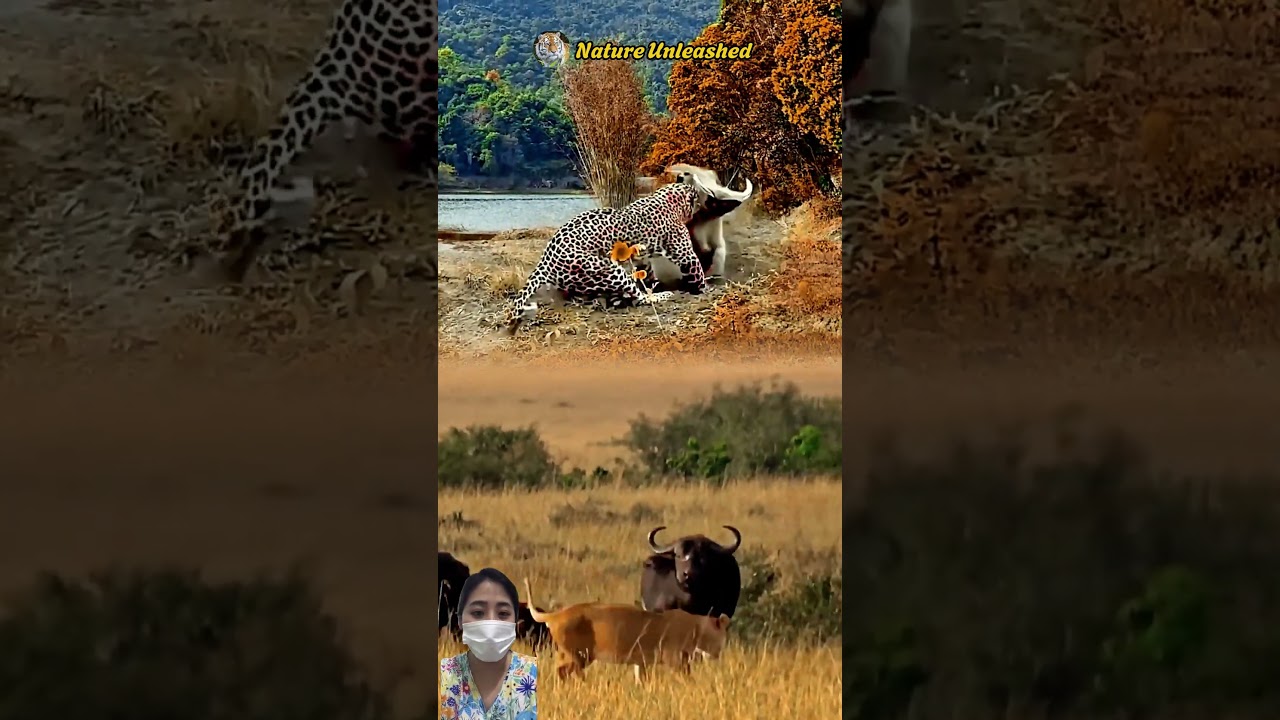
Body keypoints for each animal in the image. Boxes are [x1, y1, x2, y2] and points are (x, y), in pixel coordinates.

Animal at [505, 174, 754, 335]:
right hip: (608, 269)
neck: (671, 197)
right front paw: (706, 288)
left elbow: (647, 269)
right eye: (708, 198)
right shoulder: (684, 253)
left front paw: (654, 282)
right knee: (637, 297)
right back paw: (663, 295)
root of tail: (544, 262)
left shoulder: (642, 255)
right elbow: (697, 272)